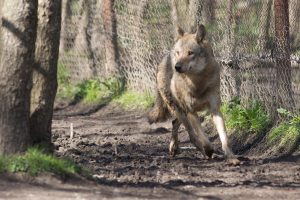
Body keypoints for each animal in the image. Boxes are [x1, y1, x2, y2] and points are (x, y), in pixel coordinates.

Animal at [149, 23, 240, 165]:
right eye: (178, 53)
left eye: (190, 53)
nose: (177, 67)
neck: (198, 83)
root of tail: (165, 58)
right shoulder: (191, 112)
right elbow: (203, 137)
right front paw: (209, 150)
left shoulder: (215, 110)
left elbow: (224, 138)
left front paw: (231, 158)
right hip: (179, 110)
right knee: (192, 136)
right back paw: (203, 153)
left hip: (182, 112)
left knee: (174, 123)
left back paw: (174, 148)